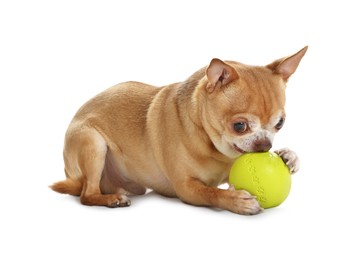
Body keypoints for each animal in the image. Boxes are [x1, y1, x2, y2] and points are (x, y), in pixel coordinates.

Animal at [50, 46, 308, 215]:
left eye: (280, 123)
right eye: (239, 126)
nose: (265, 145)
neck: (214, 148)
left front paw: (288, 155)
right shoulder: (186, 187)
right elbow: (211, 193)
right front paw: (236, 200)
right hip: (93, 143)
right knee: (87, 195)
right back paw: (112, 199)